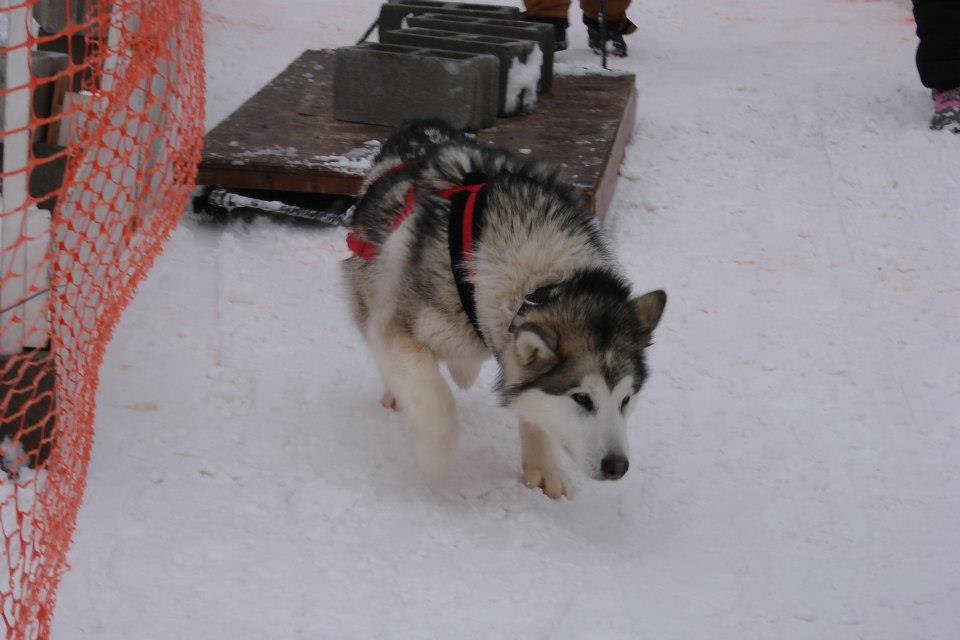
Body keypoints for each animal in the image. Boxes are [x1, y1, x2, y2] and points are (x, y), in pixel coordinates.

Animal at [342, 121, 664, 500]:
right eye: (582, 398)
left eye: (627, 399)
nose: (617, 466)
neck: (542, 279)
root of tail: (419, 128)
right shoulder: (399, 327)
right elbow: (435, 398)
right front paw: (437, 457)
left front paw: (543, 466)